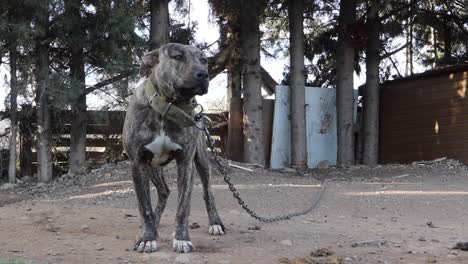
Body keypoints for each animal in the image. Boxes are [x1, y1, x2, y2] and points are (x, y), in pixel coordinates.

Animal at [122, 43, 225, 254]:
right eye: (177, 56)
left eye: (204, 60)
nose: (203, 74)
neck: (168, 106)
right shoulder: (138, 163)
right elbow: (144, 205)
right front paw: (147, 238)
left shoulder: (185, 163)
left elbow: (183, 207)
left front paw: (182, 239)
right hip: (152, 168)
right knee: (163, 192)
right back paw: (154, 223)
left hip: (201, 161)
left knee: (208, 192)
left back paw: (215, 222)